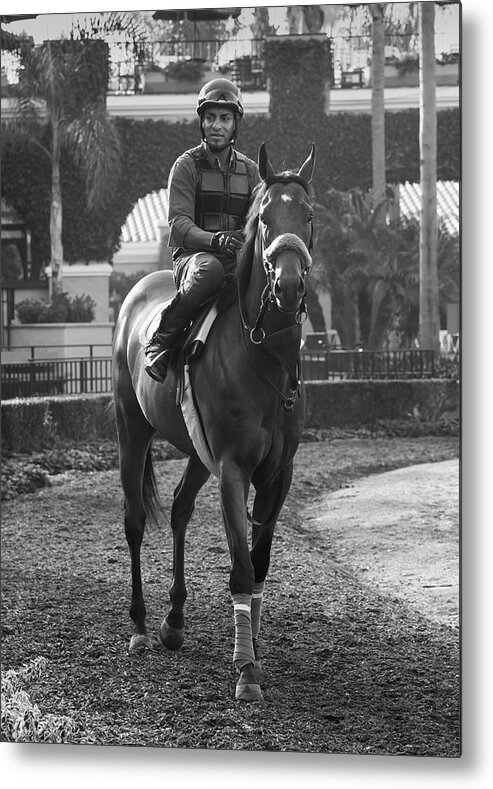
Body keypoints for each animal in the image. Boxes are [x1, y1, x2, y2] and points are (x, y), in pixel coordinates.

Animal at [112, 142, 316, 700]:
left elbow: (260, 562)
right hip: (132, 429)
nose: (289, 284)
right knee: (135, 521)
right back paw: (140, 626)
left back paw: (174, 621)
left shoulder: (278, 473)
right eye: (264, 218)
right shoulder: (232, 469)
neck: (263, 356)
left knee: (181, 509)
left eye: (308, 216)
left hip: (196, 450)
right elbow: (241, 566)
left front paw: (254, 648)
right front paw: (246, 668)